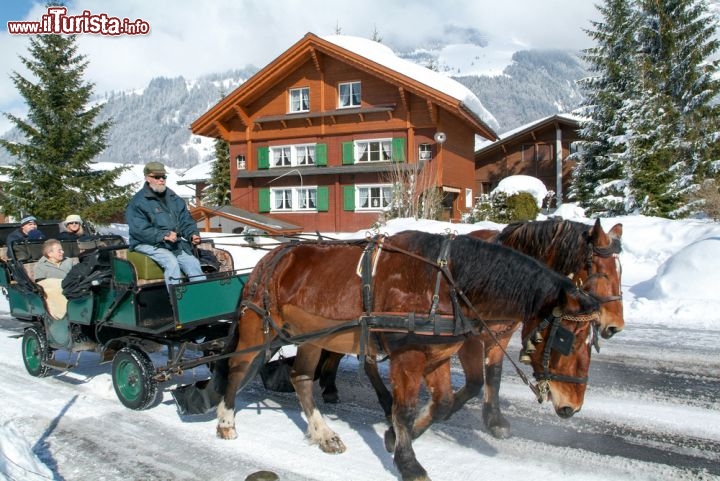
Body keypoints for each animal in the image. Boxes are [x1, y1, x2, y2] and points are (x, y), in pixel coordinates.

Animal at [214, 231, 600, 478]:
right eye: (567, 337)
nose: (572, 406)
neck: (445, 282)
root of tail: (271, 257)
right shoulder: (407, 359)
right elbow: (404, 409)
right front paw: (408, 462)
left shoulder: (438, 354)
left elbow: (443, 403)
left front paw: (394, 438)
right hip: (258, 328)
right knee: (236, 368)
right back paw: (226, 420)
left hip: (311, 337)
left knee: (301, 377)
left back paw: (324, 434)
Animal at [318, 218, 620, 438]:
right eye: (597, 269)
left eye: (618, 270)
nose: (614, 325)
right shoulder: (471, 339)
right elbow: (475, 381)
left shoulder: (499, 335)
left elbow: (492, 376)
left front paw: (494, 420)